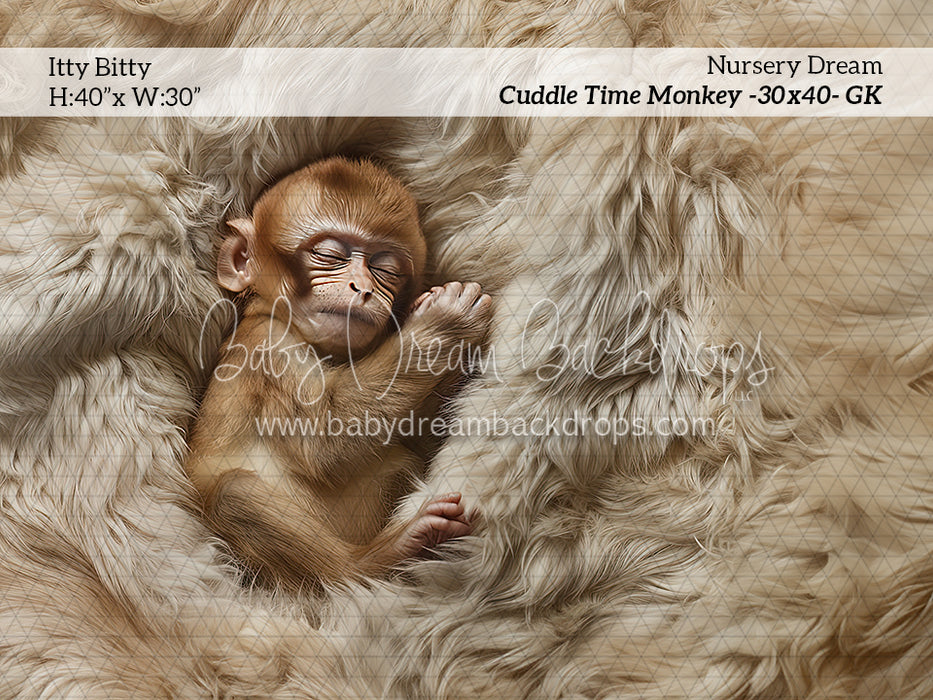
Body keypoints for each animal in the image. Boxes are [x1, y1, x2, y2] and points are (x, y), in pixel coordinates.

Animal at [186, 157, 493, 594]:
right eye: (328, 255)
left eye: (385, 268)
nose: (363, 287)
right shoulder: (267, 347)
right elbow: (325, 441)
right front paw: (443, 322)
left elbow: (412, 442)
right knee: (234, 494)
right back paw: (376, 560)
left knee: (399, 462)